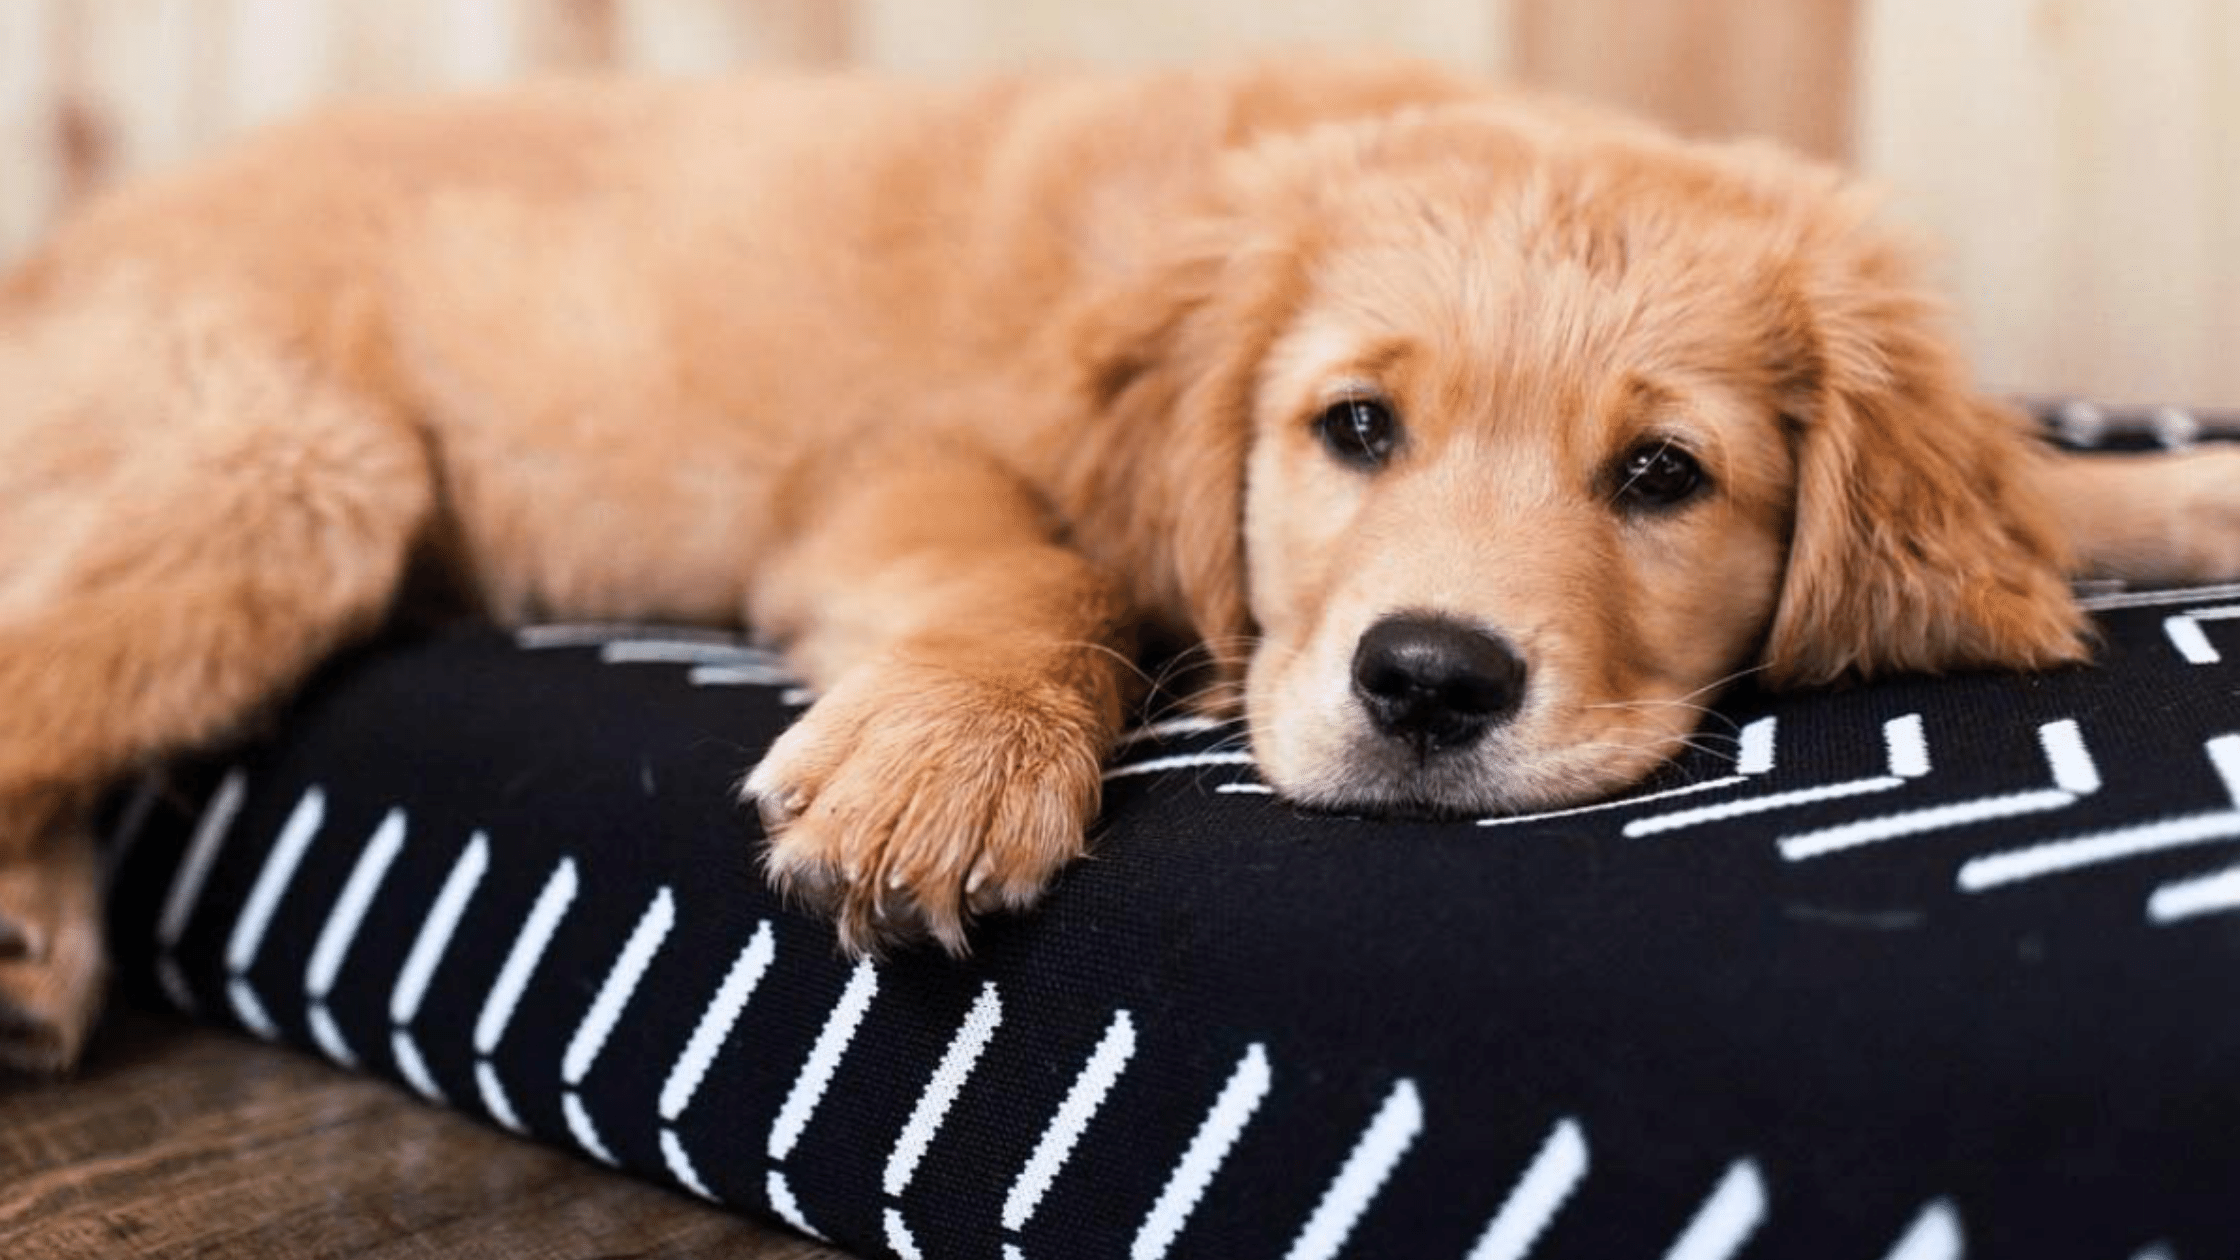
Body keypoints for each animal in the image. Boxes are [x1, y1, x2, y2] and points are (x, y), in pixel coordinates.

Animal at [4, 53, 2240, 1062]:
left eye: (1663, 477)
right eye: (1355, 429)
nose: (1429, 684)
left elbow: (2044, 486)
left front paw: (2177, 485)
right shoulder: (896, 473)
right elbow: (1052, 581)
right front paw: (940, 769)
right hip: (288, 466)